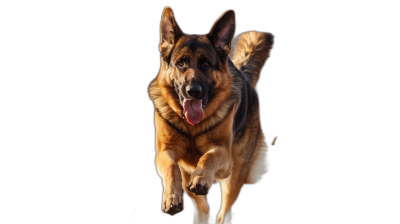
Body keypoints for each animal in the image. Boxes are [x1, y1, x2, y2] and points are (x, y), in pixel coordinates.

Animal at [148, 6, 276, 223]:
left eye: (206, 64)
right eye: (180, 63)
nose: (193, 91)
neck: (192, 127)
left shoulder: (223, 155)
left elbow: (209, 157)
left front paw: (201, 178)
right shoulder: (165, 152)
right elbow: (172, 167)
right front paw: (171, 198)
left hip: (234, 176)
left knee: (224, 210)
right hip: (190, 177)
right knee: (203, 207)